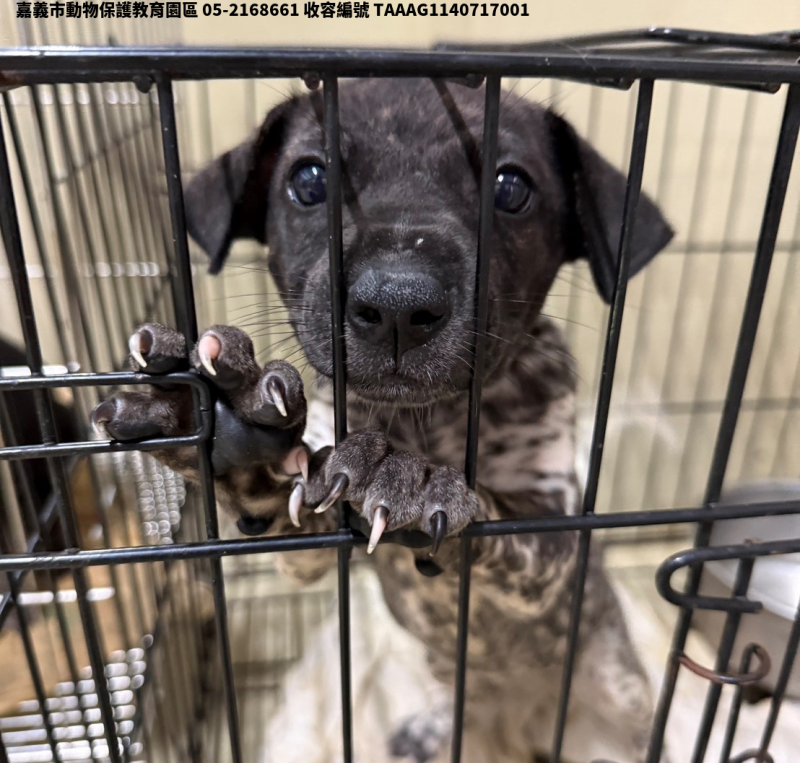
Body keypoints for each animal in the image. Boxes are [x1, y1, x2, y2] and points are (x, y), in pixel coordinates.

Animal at [90, 78, 673, 762]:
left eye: (511, 189)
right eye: (309, 179)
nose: (398, 303)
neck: (424, 423)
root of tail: (523, 710)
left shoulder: (555, 533)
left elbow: (504, 513)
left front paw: (417, 479)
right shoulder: (311, 541)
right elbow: (279, 500)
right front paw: (226, 426)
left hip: (616, 678)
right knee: (468, 701)